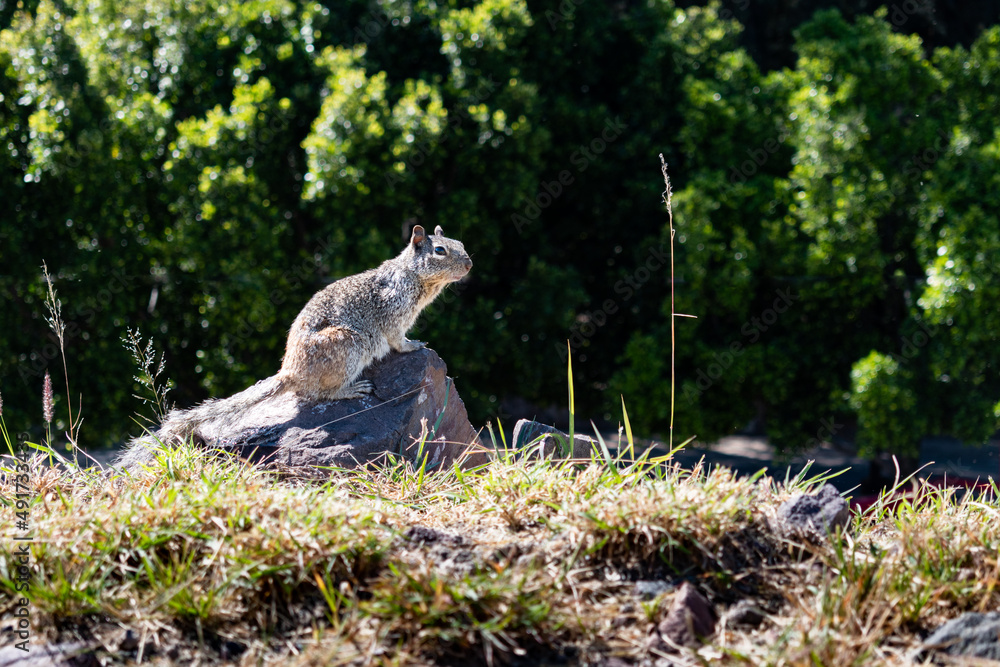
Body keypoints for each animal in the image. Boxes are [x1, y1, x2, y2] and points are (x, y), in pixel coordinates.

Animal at [118, 225, 471, 463]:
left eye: (460, 243)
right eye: (440, 250)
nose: (469, 264)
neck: (416, 279)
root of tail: (290, 373)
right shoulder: (393, 317)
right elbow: (399, 341)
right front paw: (415, 346)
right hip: (348, 345)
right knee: (319, 393)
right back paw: (352, 390)